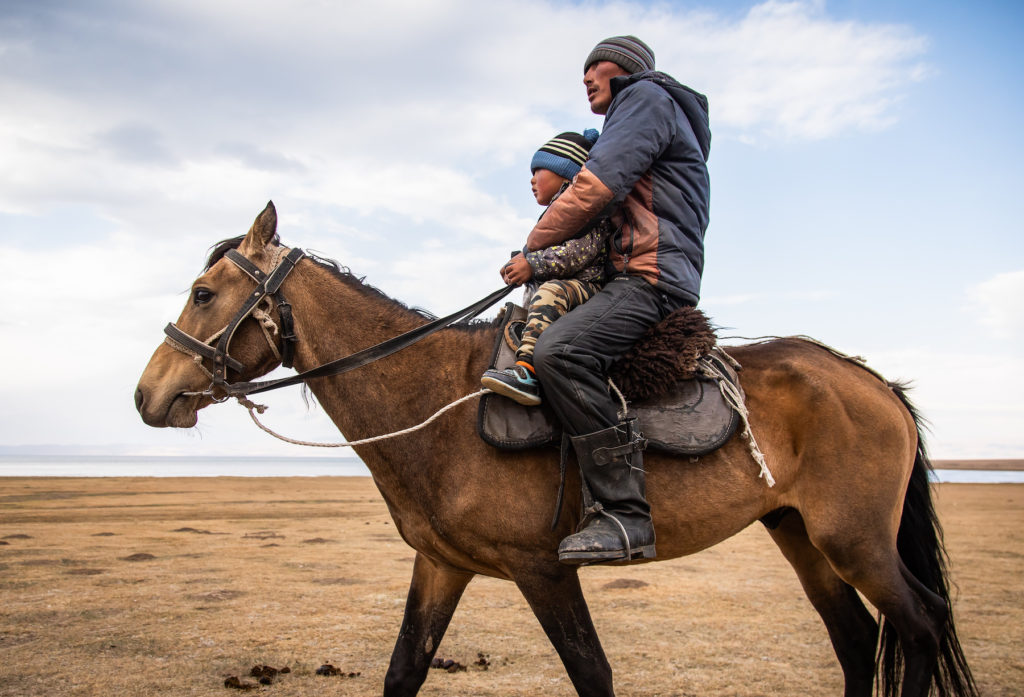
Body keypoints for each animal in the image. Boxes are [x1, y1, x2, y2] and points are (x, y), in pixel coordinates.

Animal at [136, 202, 974, 695]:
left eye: (204, 294)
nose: (146, 394)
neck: (434, 398)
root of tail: (871, 380)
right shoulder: (441, 566)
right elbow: (404, 671)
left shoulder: (544, 569)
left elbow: (593, 674)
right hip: (800, 532)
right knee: (857, 638)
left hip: (855, 538)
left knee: (919, 624)